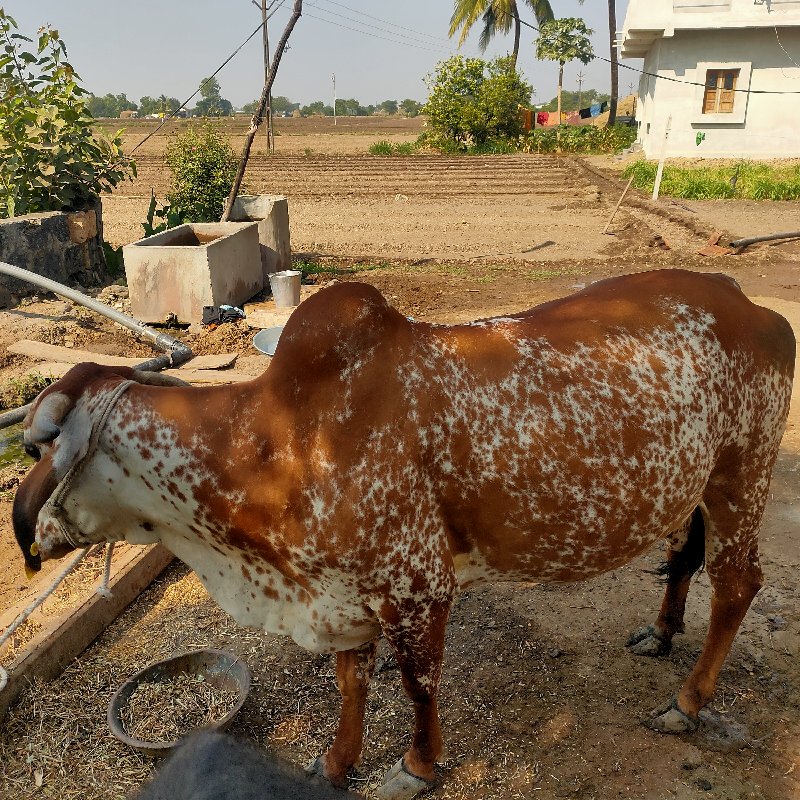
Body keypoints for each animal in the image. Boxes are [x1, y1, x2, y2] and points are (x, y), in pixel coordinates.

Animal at [10, 270, 792, 800]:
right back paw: (660, 634)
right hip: (690, 487)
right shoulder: (339, 593)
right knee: (682, 556)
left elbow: (418, 685)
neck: (277, 442)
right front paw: (336, 762)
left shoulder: (418, 588)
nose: (25, 537)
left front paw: (415, 767)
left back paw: (688, 703)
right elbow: (349, 681)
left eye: (38, 445)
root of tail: (752, 306)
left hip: (741, 475)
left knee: (738, 585)